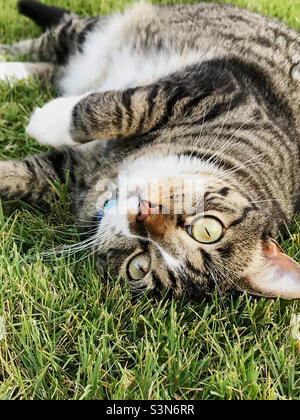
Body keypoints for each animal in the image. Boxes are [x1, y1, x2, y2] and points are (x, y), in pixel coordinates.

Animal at [0, 1, 300, 300]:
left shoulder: (74, 173)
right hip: (98, 32)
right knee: (53, 39)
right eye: (208, 229)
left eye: (139, 266)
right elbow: (126, 107)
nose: (143, 213)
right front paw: (48, 120)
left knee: (53, 69)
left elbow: (24, 176)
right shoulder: (214, 87)